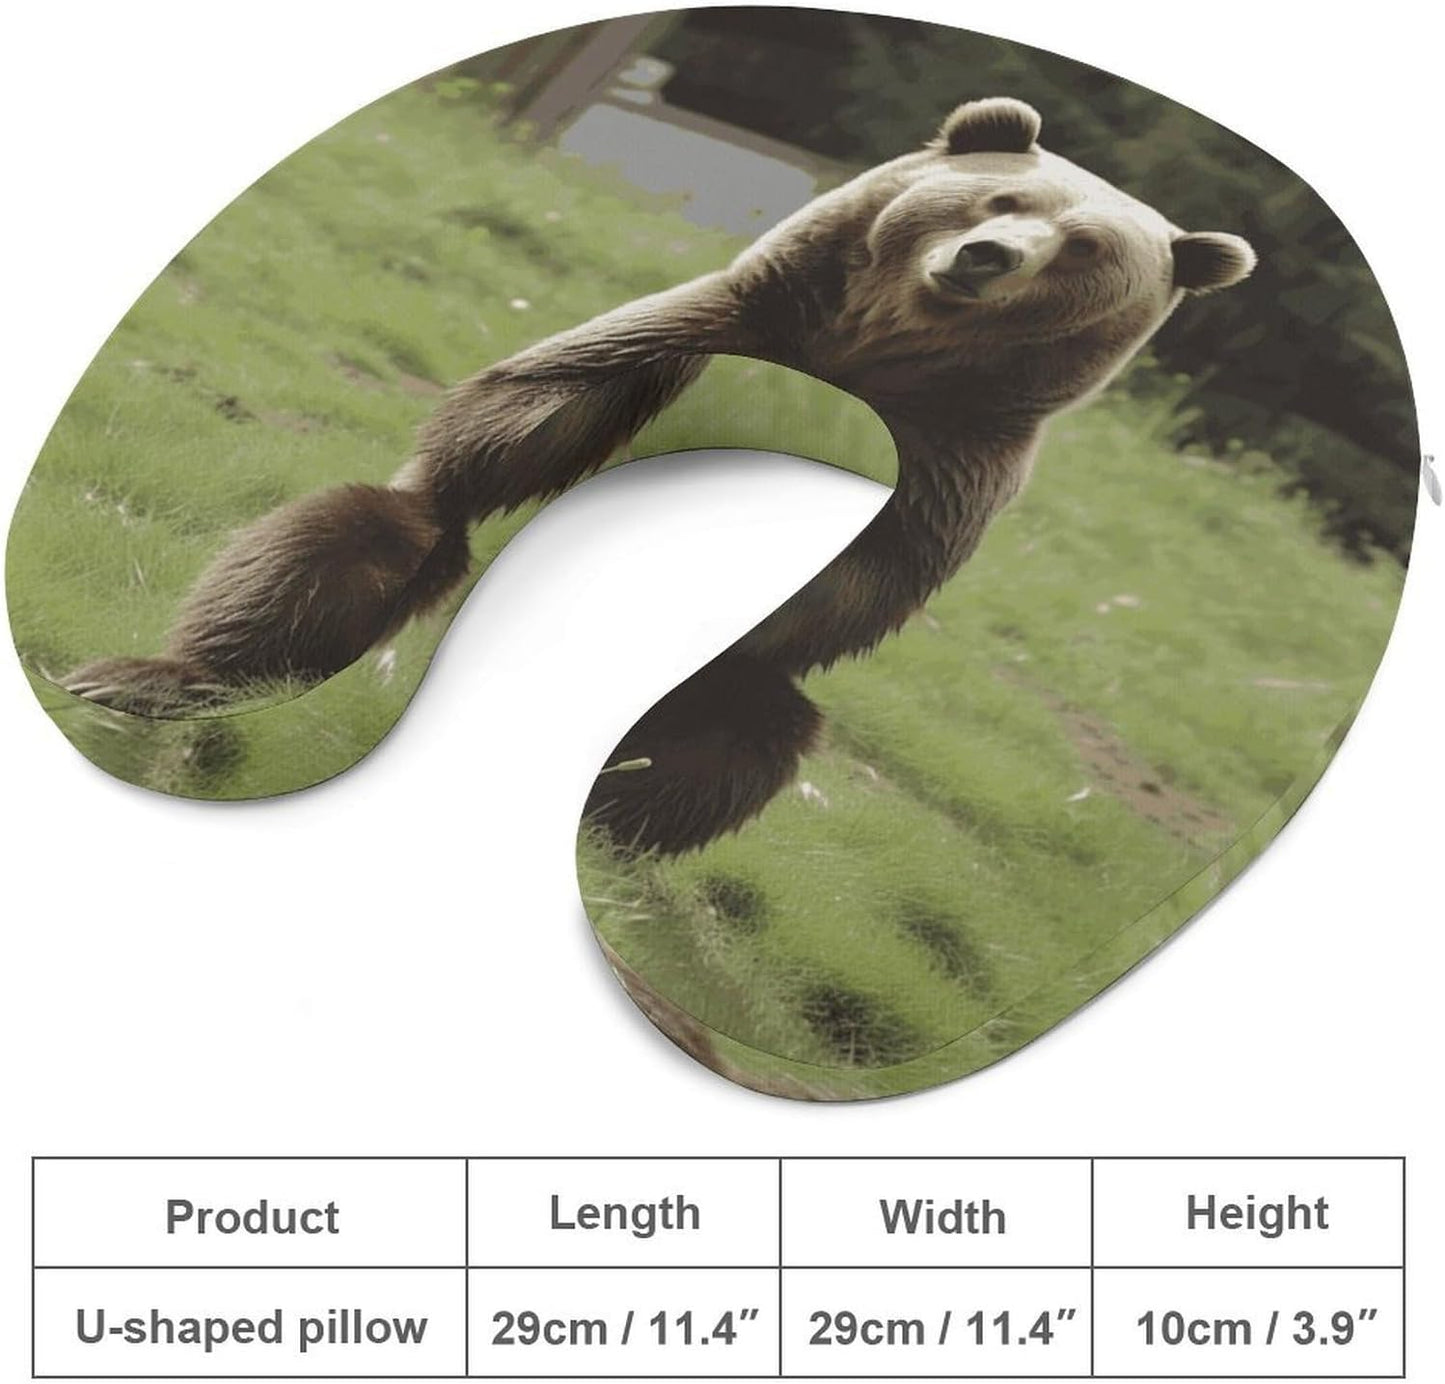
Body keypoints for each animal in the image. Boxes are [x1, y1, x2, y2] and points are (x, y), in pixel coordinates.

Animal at [63, 97, 1254, 853]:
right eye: (996, 201)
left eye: (1084, 246)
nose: (983, 259)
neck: (874, 349)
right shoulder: (739, 319)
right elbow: (533, 405)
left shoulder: (957, 452)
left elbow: (869, 574)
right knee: (331, 553)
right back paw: (148, 678)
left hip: (727, 696)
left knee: (729, 743)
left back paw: (611, 825)